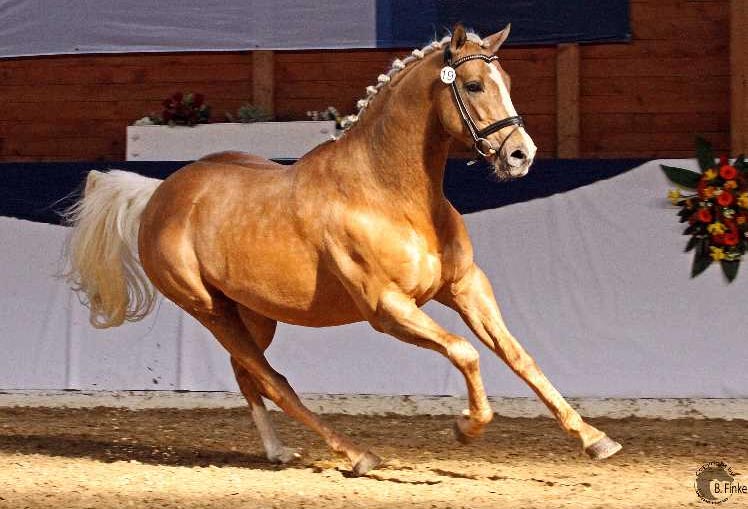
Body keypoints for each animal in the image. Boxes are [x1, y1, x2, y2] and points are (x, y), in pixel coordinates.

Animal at [67, 25, 624, 474]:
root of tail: (159, 194)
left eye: (506, 81)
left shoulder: (465, 286)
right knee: (272, 380)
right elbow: (465, 352)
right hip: (209, 309)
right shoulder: (388, 308)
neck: (386, 193)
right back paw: (357, 455)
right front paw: (467, 426)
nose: (520, 155)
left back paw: (278, 452)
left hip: (255, 313)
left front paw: (595, 439)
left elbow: (518, 355)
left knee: (248, 375)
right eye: (472, 85)